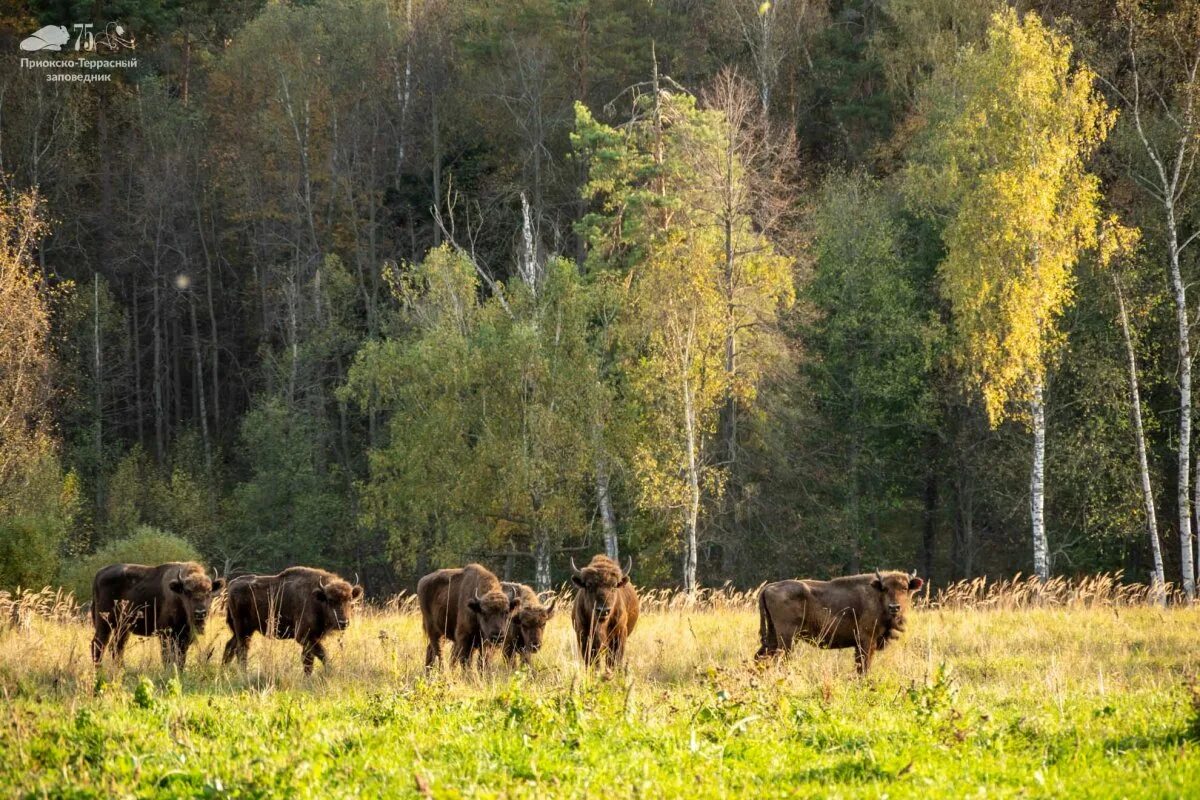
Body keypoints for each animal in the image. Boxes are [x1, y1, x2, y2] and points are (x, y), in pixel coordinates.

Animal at [753, 568, 921, 676]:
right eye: (885, 588)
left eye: (905, 588)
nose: (894, 607)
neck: (877, 595)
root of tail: (768, 587)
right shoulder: (867, 640)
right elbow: (864, 666)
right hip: (787, 638)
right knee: (780, 659)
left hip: (773, 636)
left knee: (760, 657)